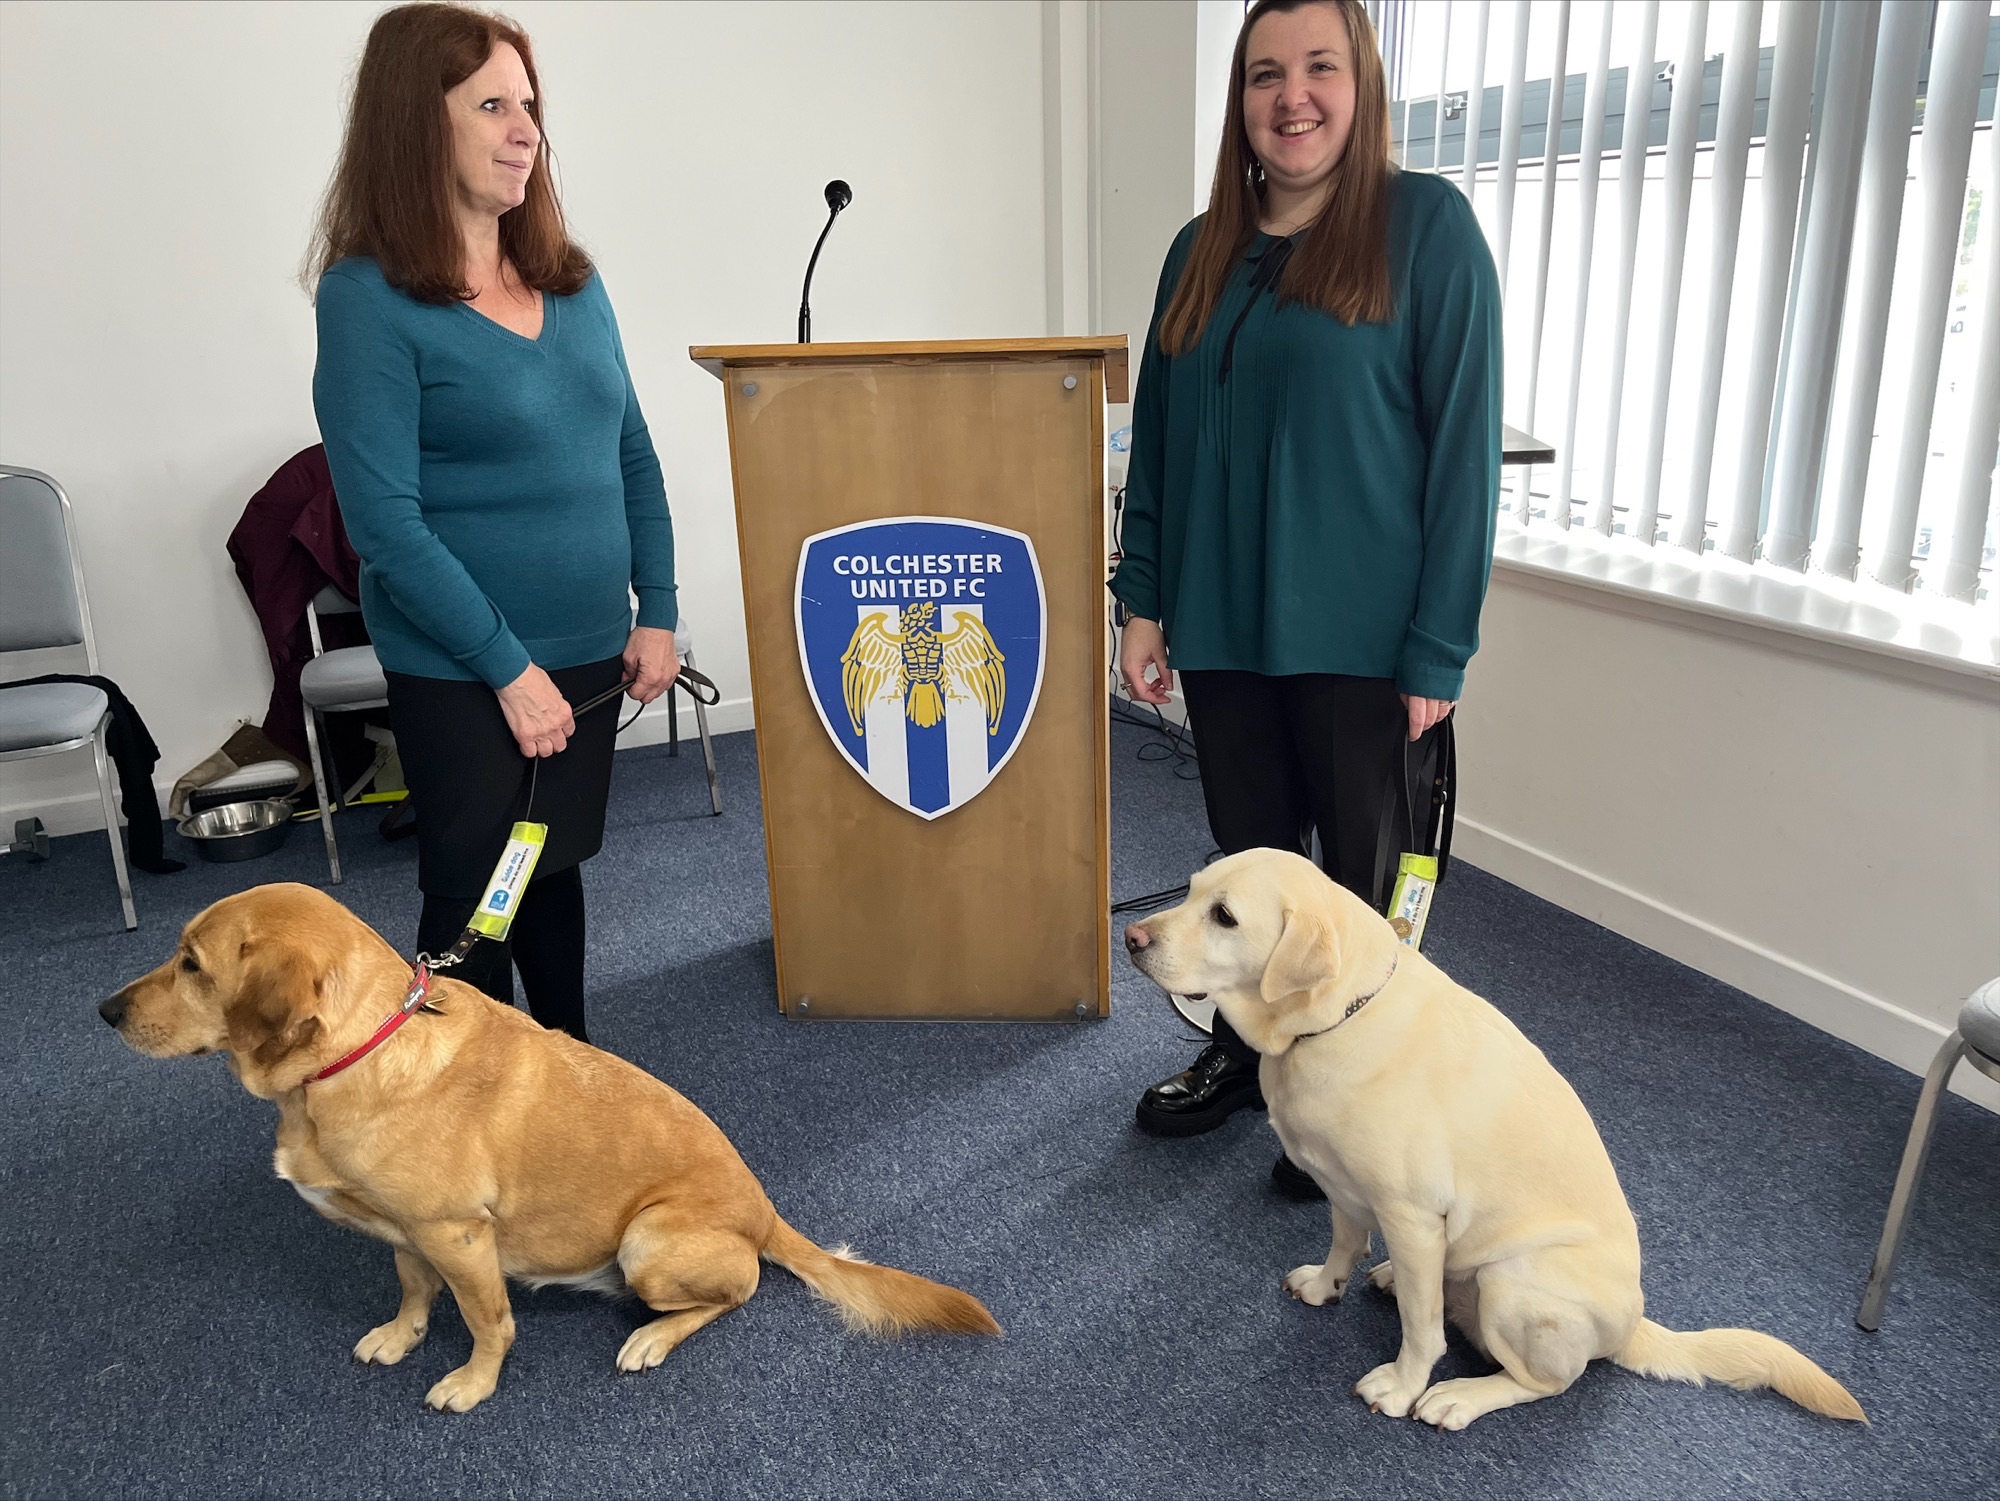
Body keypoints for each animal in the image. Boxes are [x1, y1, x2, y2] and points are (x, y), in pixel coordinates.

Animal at [101, 880, 1000, 1408]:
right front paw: (402, 1334)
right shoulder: (408, 1233)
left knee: (736, 1291)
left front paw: (472, 1381)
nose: (104, 1011)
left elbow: (486, 1319)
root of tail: (766, 1212)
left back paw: (648, 1338)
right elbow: (413, 1291)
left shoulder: (460, 1235)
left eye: (191, 963)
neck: (357, 1051)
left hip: (648, 1240)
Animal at [1128, 856, 1856, 1432]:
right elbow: (1344, 1240)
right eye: (1190, 890)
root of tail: (1634, 1323)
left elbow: (1422, 1330)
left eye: (1224, 916)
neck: (1334, 1019)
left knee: (1544, 1380)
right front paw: (1325, 1283)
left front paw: (1402, 1385)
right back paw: (1389, 1279)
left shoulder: (1415, 1216)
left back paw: (1458, 1396)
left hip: (1514, 1280)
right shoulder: (1341, 1184)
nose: (1132, 935)